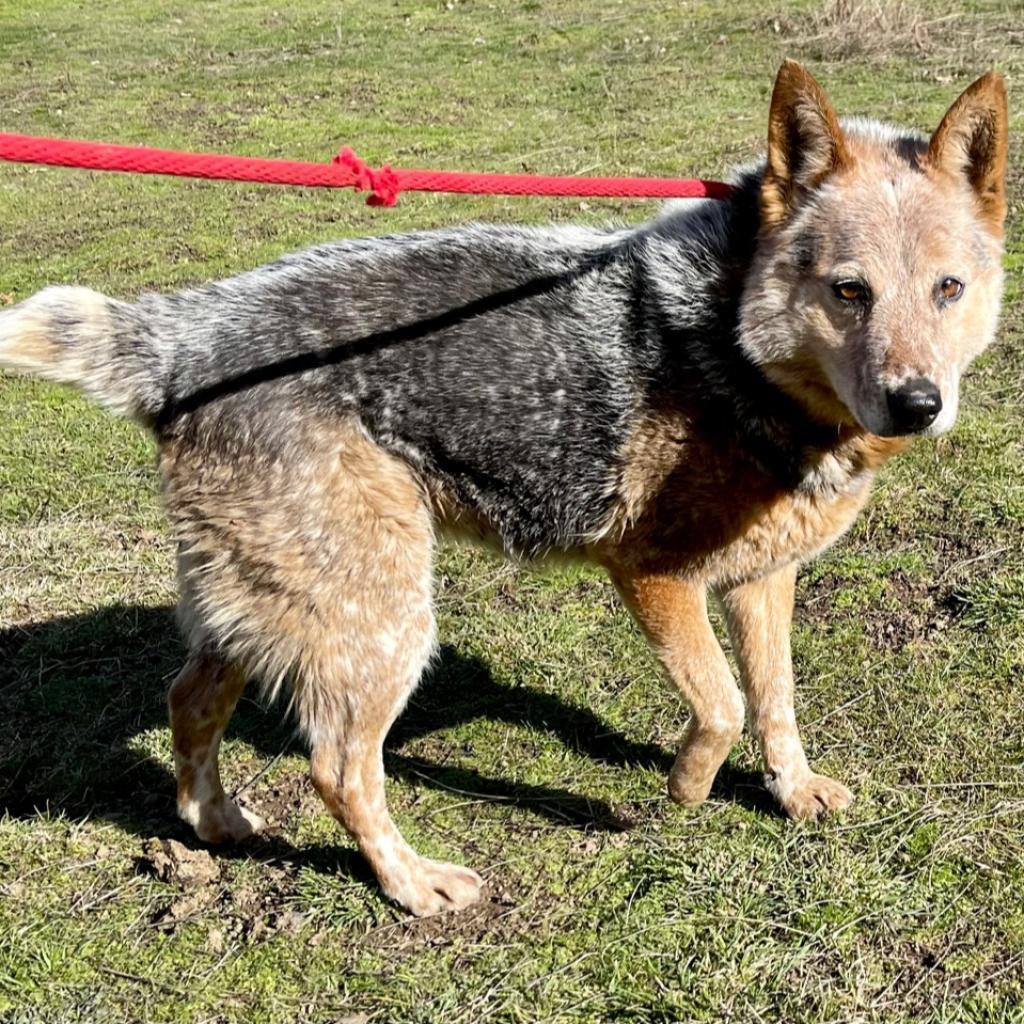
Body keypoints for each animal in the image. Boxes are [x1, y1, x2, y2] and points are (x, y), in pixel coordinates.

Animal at [0, 61, 1007, 913]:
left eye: (948, 289)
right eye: (849, 291)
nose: (918, 404)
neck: (734, 336)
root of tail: (181, 338)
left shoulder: (763, 579)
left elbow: (777, 699)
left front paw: (791, 790)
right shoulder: (654, 574)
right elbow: (722, 704)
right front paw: (686, 789)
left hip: (269, 605)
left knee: (189, 700)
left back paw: (217, 825)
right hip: (386, 618)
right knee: (339, 769)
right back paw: (412, 886)